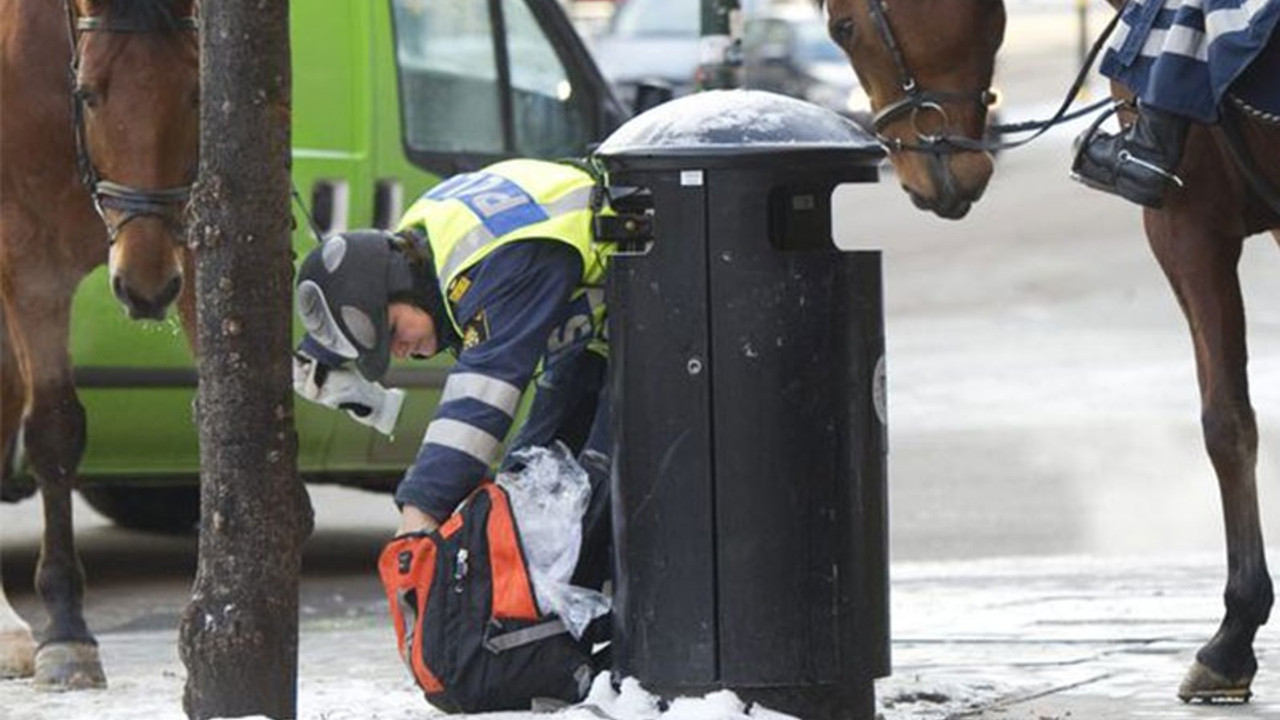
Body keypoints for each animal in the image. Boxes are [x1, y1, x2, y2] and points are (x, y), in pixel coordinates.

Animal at [0, 0, 197, 686]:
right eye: (87, 94)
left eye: (195, 93)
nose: (145, 286)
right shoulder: (29, 262)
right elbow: (55, 425)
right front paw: (67, 627)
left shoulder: (187, 239)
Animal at [819, 0, 1280, 702]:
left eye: (842, 28)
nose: (920, 179)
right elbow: (1231, 418)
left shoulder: (1184, 224)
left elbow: (1225, 424)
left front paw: (1232, 635)